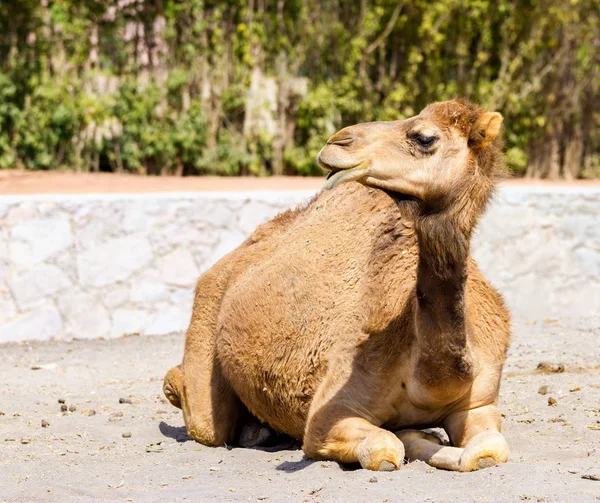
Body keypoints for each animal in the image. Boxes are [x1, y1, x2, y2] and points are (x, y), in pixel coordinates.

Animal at [163, 99, 510, 472]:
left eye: (424, 138)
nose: (337, 141)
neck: (427, 380)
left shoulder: (478, 403)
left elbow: (489, 450)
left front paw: (429, 440)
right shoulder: (331, 412)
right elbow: (385, 450)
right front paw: (412, 439)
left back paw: (258, 431)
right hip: (207, 316)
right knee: (207, 422)